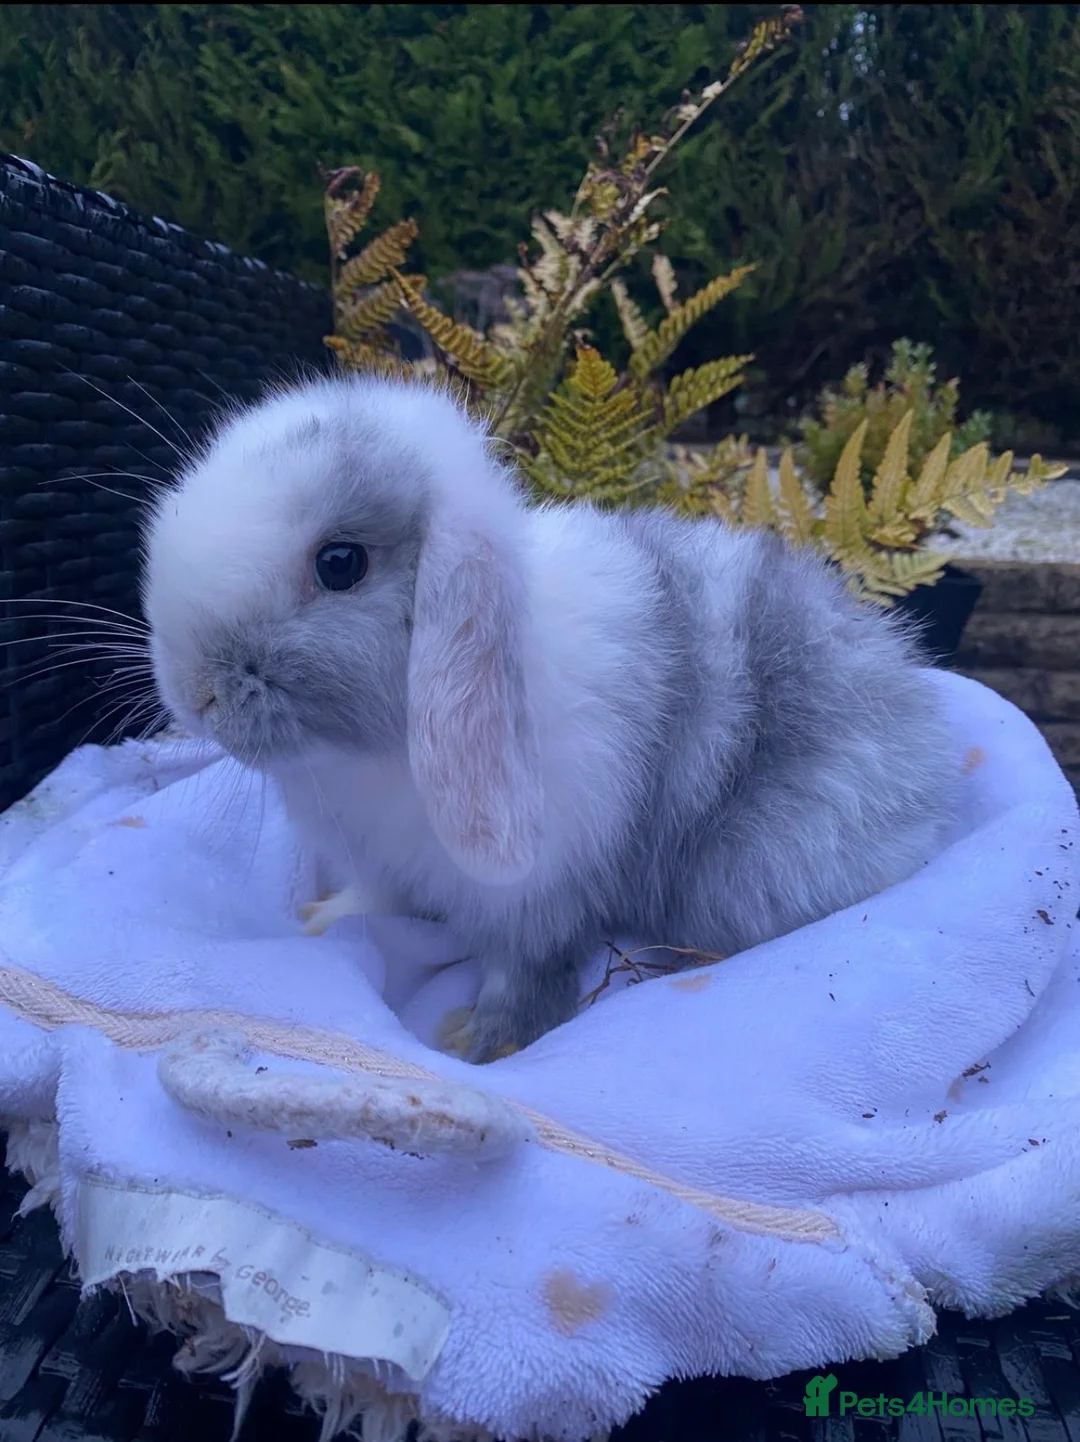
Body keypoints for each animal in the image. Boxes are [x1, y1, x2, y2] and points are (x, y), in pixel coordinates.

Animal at [142, 373, 962, 1064]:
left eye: (340, 563)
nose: (193, 694)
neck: (372, 756)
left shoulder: (541, 896)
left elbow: (527, 969)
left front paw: (475, 1043)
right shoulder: (385, 867)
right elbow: (375, 900)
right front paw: (321, 918)